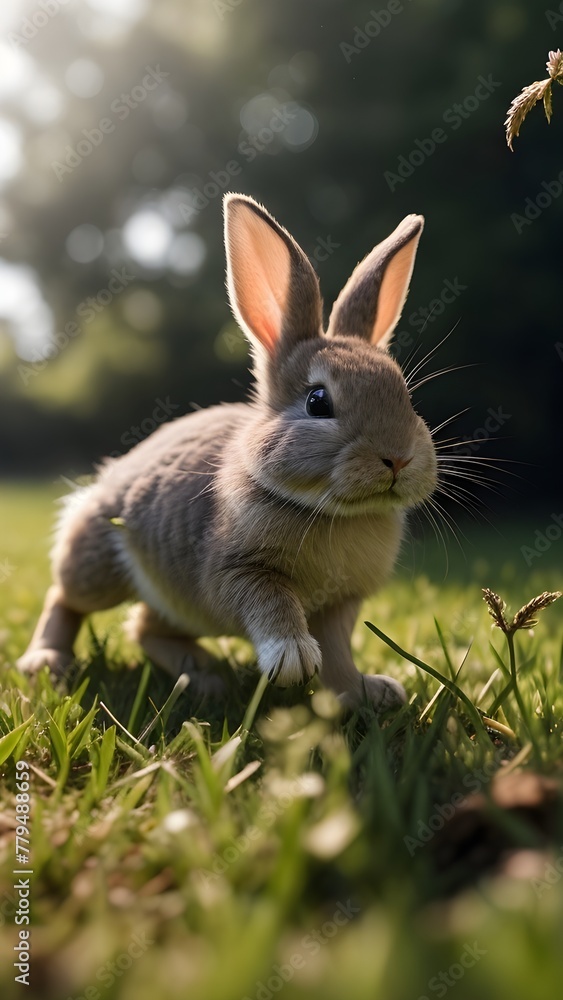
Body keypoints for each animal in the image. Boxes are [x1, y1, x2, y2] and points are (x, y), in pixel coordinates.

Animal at [17, 193, 438, 709]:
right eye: (318, 402)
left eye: (405, 395)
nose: (398, 458)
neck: (330, 511)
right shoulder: (237, 573)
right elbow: (269, 603)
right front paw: (293, 659)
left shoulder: (340, 606)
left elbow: (339, 652)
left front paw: (364, 692)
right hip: (97, 566)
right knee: (66, 597)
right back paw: (47, 662)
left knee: (144, 627)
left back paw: (203, 678)